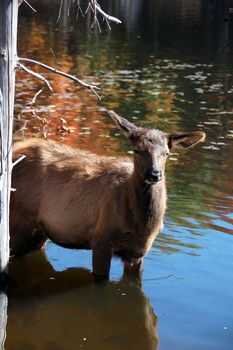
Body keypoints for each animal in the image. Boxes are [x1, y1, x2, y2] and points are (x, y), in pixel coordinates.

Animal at [10, 110, 206, 280]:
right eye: (137, 150)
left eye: (166, 153)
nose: (154, 174)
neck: (141, 227)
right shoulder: (101, 239)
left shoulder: (137, 252)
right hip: (18, 220)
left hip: (40, 231)